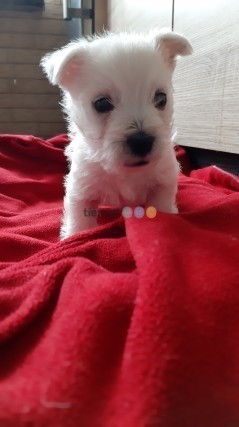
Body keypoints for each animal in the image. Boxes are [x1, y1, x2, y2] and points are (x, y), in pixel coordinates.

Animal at [40, 30, 190, 239]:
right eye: (102, 103)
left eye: (161, 98)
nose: (142, 141)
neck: (125, 171)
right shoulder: (82, 188)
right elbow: (80, 223)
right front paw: (75, 237)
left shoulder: (163, 183)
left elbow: (162, 209)